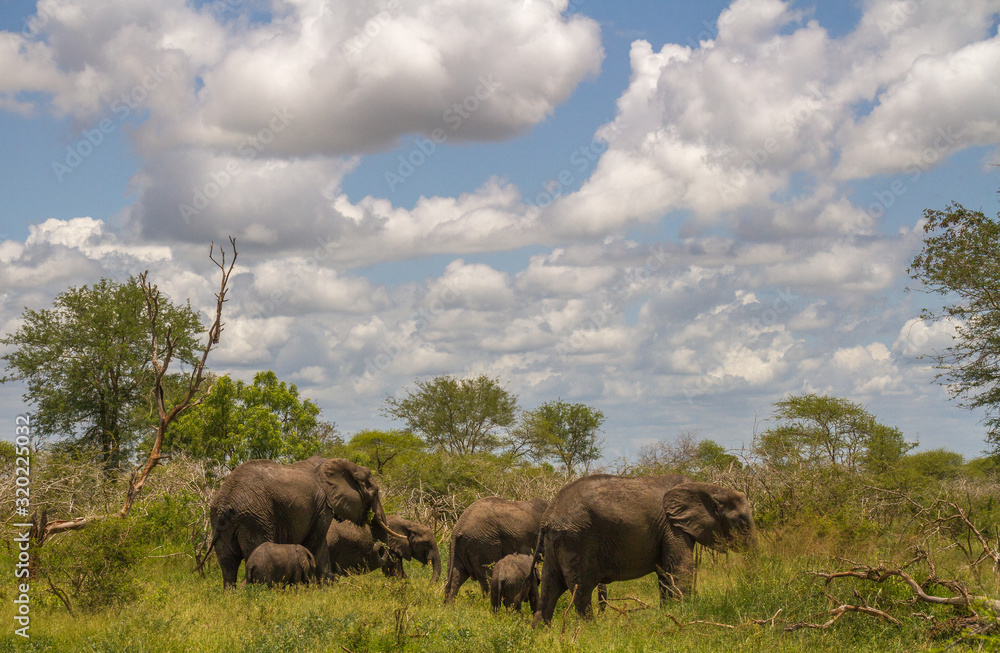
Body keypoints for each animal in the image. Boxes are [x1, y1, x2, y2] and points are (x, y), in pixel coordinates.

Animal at [208, 456, 394, 588]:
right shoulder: (322, 507)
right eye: (375, 492)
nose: (379, 546)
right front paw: (325, 590)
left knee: (228, 565)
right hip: (255, 518)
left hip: (220, 521)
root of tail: (225, 502)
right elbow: (316, 544)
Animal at [536, 474, 752, 628]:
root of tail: (548, 516)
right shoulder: (672, 526)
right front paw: (686, 615)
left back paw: (541, 632)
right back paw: (592, 631)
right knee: (581, 590)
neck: (707, 488)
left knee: (549, 589)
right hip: (577, 539)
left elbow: (665, 573)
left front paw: (668, 614)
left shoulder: (666, 529)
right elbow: (680, 568)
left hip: (557, 543)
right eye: (741, 523)